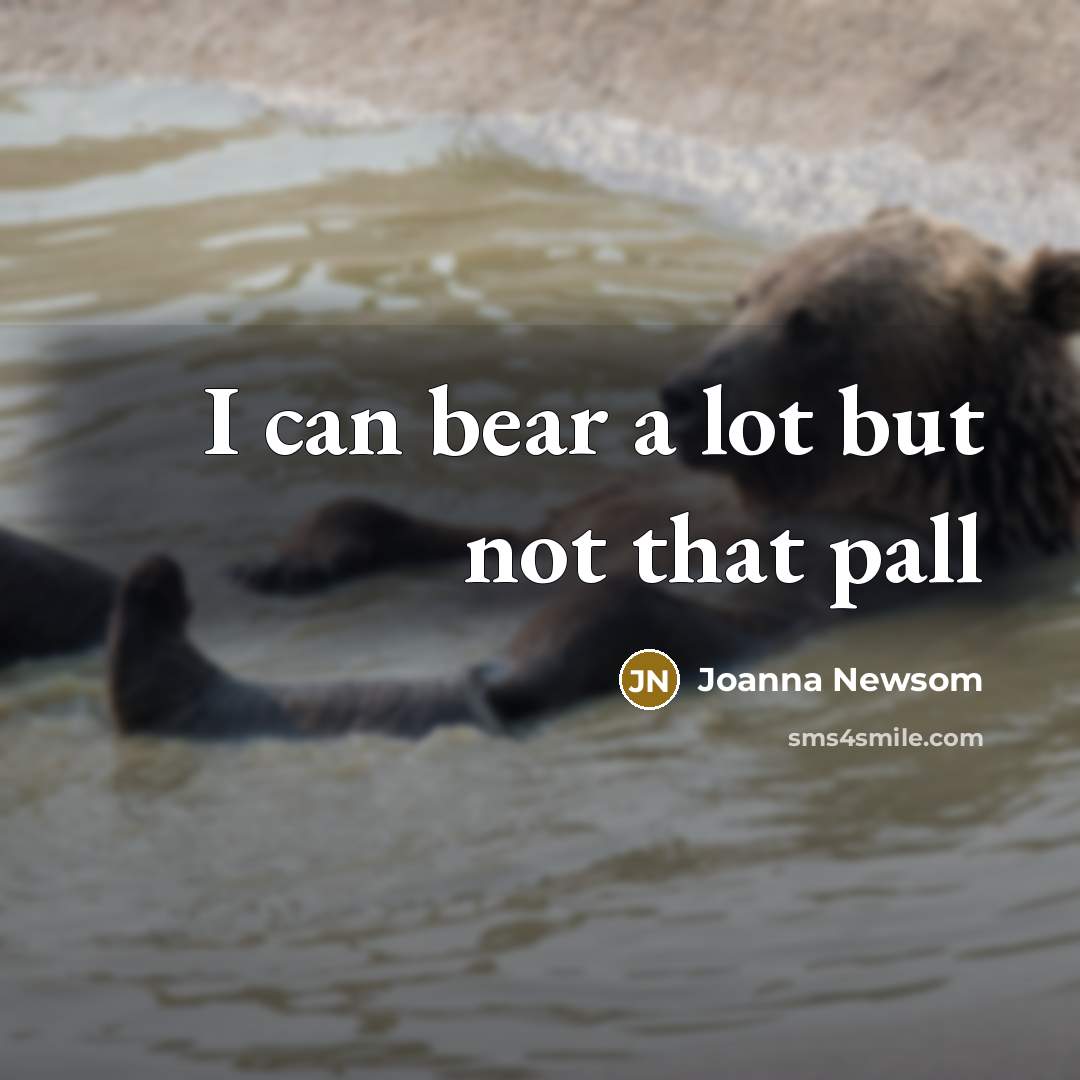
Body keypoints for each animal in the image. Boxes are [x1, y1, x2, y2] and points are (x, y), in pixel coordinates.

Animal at [105, 207, 1080, 738]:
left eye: (812, 320)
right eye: (748, 293)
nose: (684, 391)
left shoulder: (855, 563)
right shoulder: (625, 501)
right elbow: (448, 528)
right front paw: (283, 559)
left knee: (583, 631)